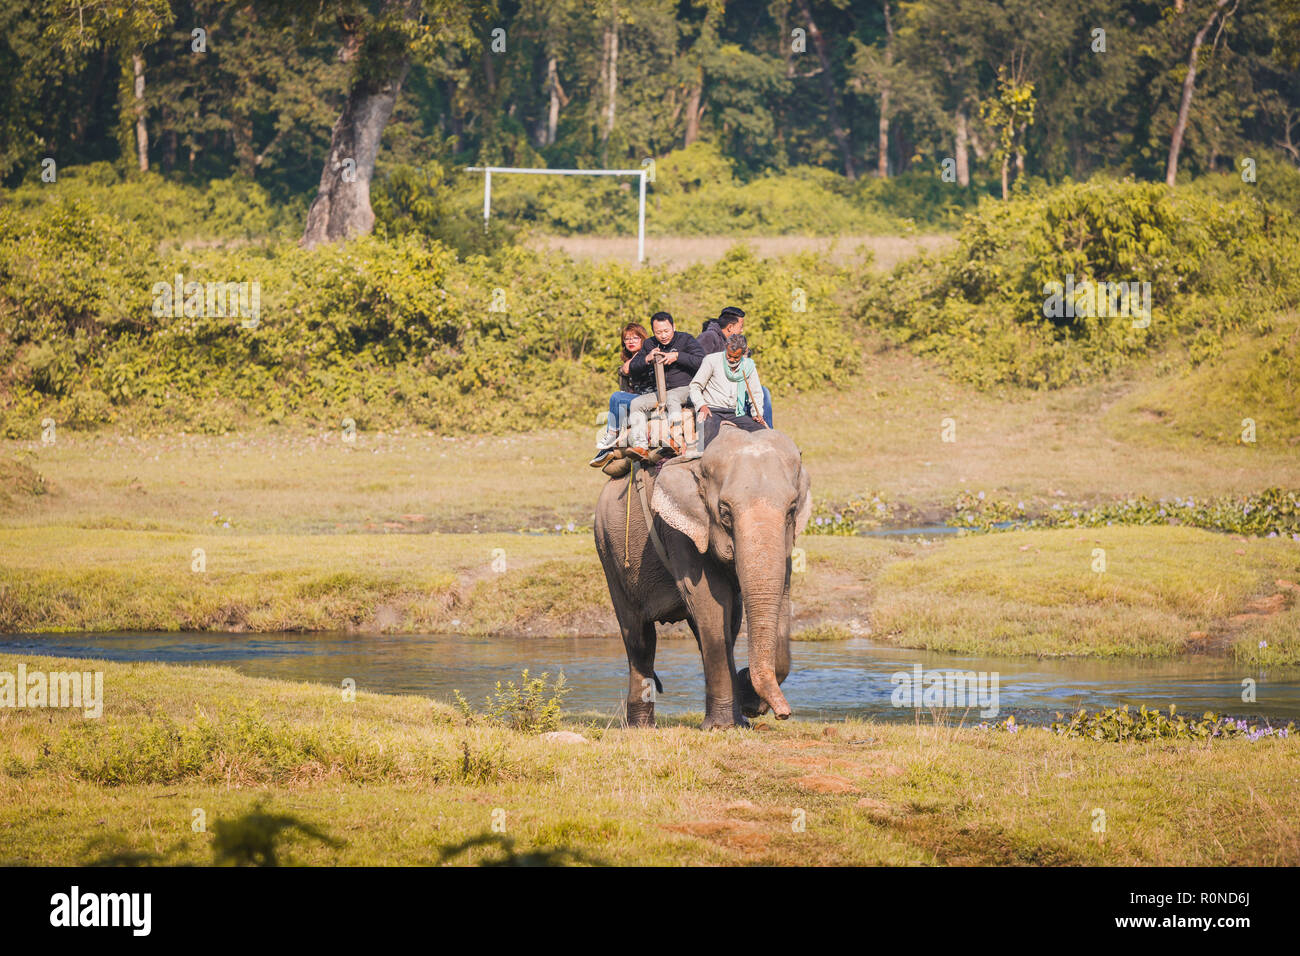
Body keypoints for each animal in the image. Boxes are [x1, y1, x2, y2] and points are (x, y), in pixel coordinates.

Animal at [593, 423, 812, 730]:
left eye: (792, 509)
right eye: (724, 512)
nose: (784, 713)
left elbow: (779, 593)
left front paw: (747, 701)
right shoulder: (679, 530)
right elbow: (709, 597)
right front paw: (722, 726)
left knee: (719, 628)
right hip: (608, 549)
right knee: (639, 638)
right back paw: (641, 727)